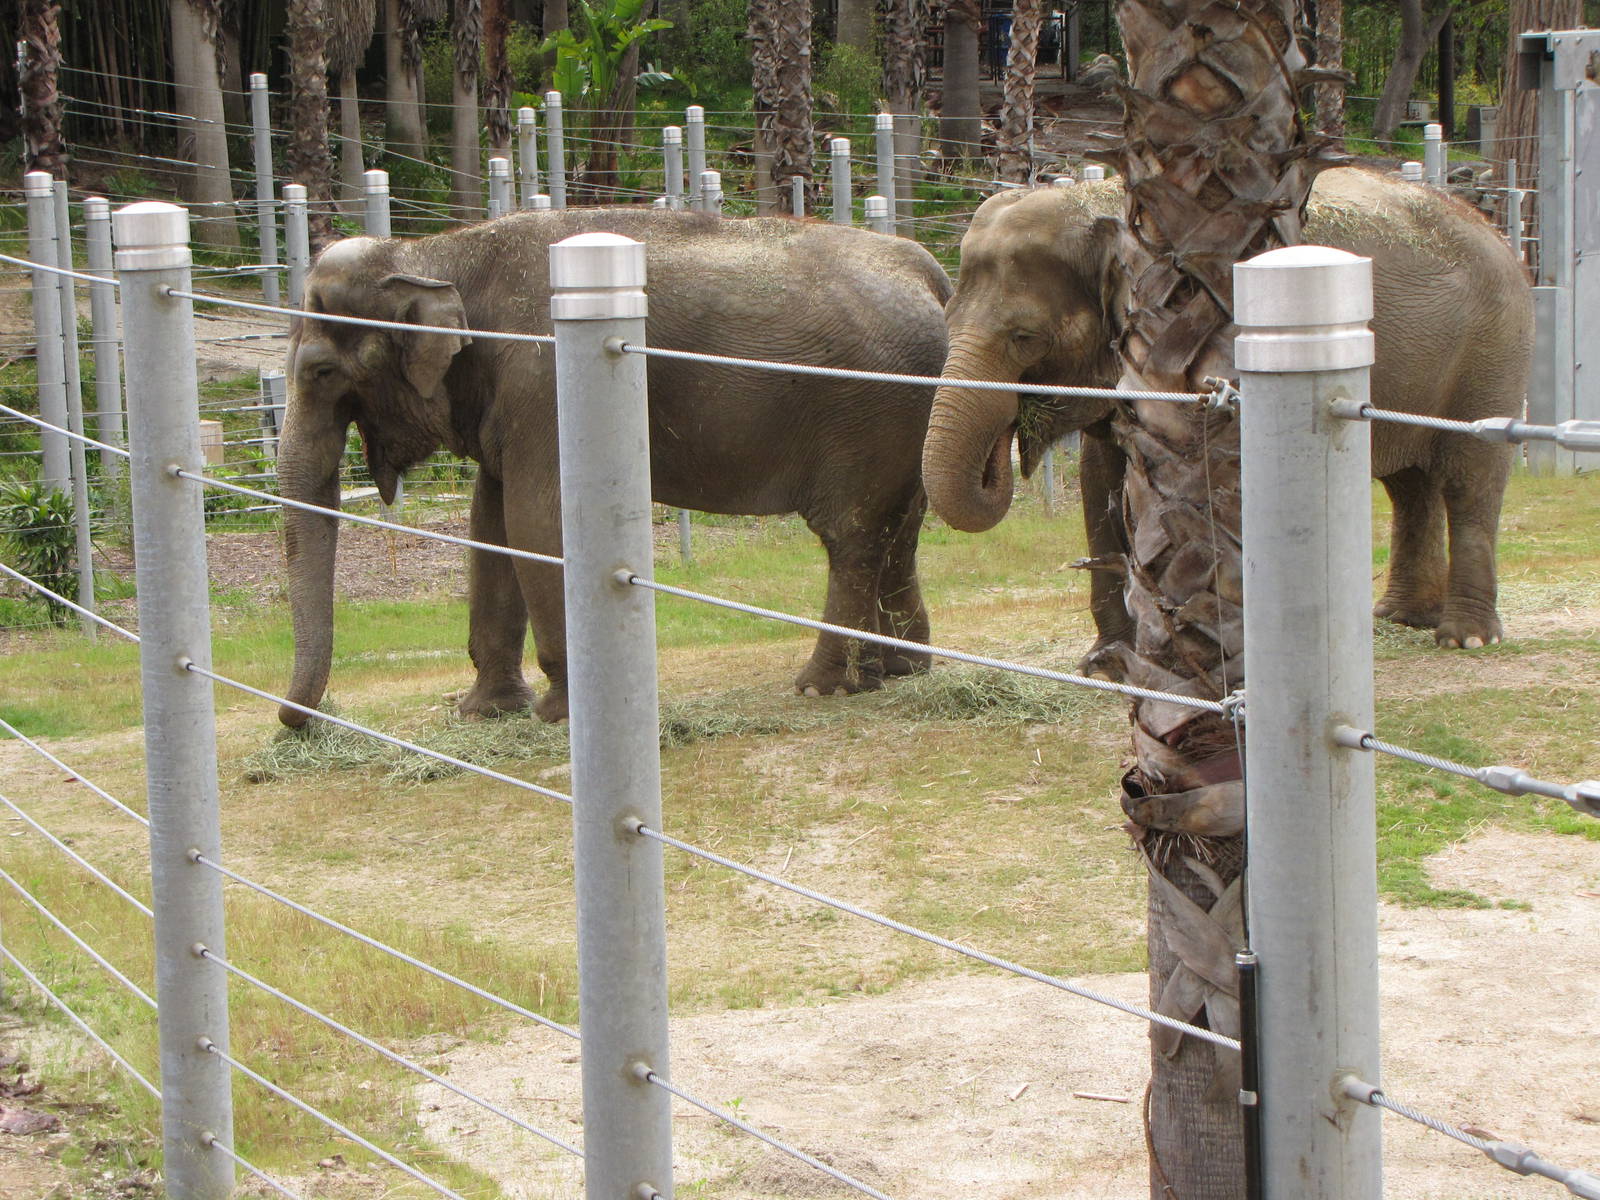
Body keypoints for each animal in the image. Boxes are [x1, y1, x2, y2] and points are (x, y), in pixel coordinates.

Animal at [280, 208, 953, 726]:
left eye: (321, 372)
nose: (301, 722)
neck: (432, 251)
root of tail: (927, 273)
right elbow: (490, 525)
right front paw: (482, 712)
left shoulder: (545, 377)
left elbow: (537, 523)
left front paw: (558, 717)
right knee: (900, 529)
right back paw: (898, 672)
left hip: (868, 409)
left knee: (852, 536)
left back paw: (821, 686)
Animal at [922, 167, 1533, 674]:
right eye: (946, 318)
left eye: (1024, 337)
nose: (1011, 436)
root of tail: (1498, 232)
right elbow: (1101, 480)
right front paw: (1108, 664)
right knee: (1409, 486)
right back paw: (1398, 618)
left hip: (1493, 352)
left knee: (1469, 481)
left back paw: (1465, 638)